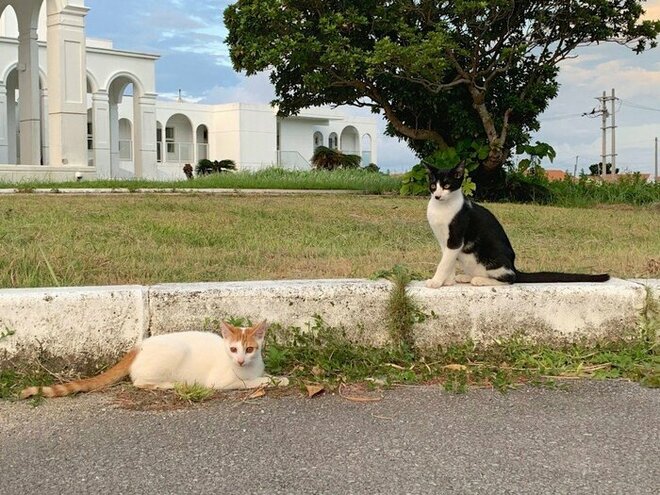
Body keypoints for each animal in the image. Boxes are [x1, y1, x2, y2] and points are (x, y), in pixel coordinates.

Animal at [20, 322, 288, 400]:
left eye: (250, 349)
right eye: (233, 349)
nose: (241, 360)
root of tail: (139, 346)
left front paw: (279, 378)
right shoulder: (222, 382)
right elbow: (249, 383)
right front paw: (267, 381)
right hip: (173, 353)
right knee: (140, 382)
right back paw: (173, 385)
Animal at [426, 161, 612, 288]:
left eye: (447, 185)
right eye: (433, 185)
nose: (437, 196)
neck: (442, 208)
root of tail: (514, 266)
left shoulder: (455, 238)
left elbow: (444, 263)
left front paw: (436, 281)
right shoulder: (445, 242)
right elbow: (447, 261)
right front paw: (447, 281)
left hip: (493, 258)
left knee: (510, 279)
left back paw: (479, 280)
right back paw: (467, 276)